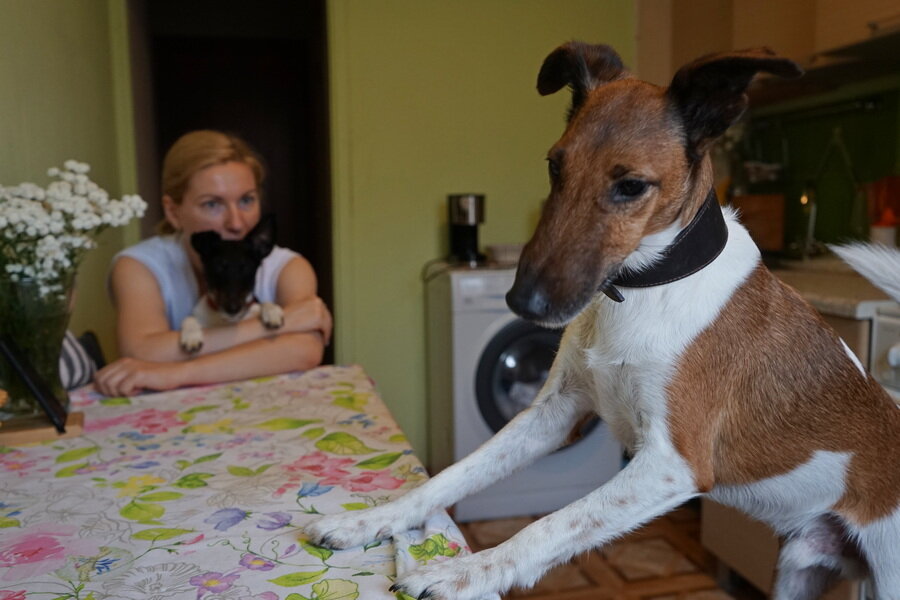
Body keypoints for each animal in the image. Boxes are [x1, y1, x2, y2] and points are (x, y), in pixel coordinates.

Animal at [178, 213, 284, 354]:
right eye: (218, 266)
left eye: (247, 268)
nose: (233, 308)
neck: (227, 320)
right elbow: (189, 318)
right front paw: (191, 336)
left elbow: (262, 303)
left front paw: (272, 311)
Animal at [304, 43, 900, 600]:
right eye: (554, 166)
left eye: (631, 186)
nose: (523, 302)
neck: (641, 290)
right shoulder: (552, 412)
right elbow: (455, 475)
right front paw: (370, 521)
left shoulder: (670, 465)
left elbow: (548, 526)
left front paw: (460, 572)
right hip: (797, 567)